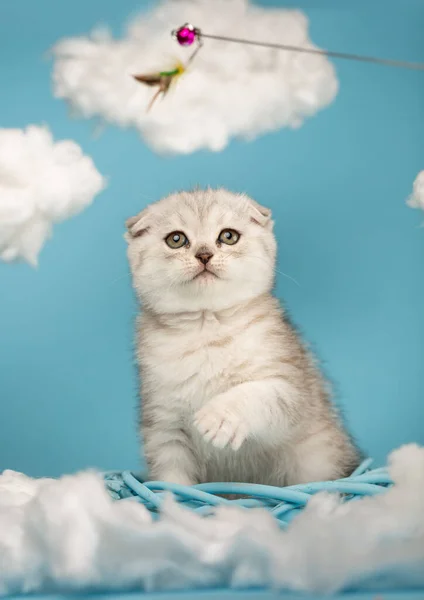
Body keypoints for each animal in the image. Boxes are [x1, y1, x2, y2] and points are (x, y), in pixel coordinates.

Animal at [126, 189, 362, 488]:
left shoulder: (292, 388)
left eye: (228, 236)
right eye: (176, 239)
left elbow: (258, 393)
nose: (204, 254)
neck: (207, 330)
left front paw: (218, 416)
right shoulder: (163, 424)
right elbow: (171, 477)